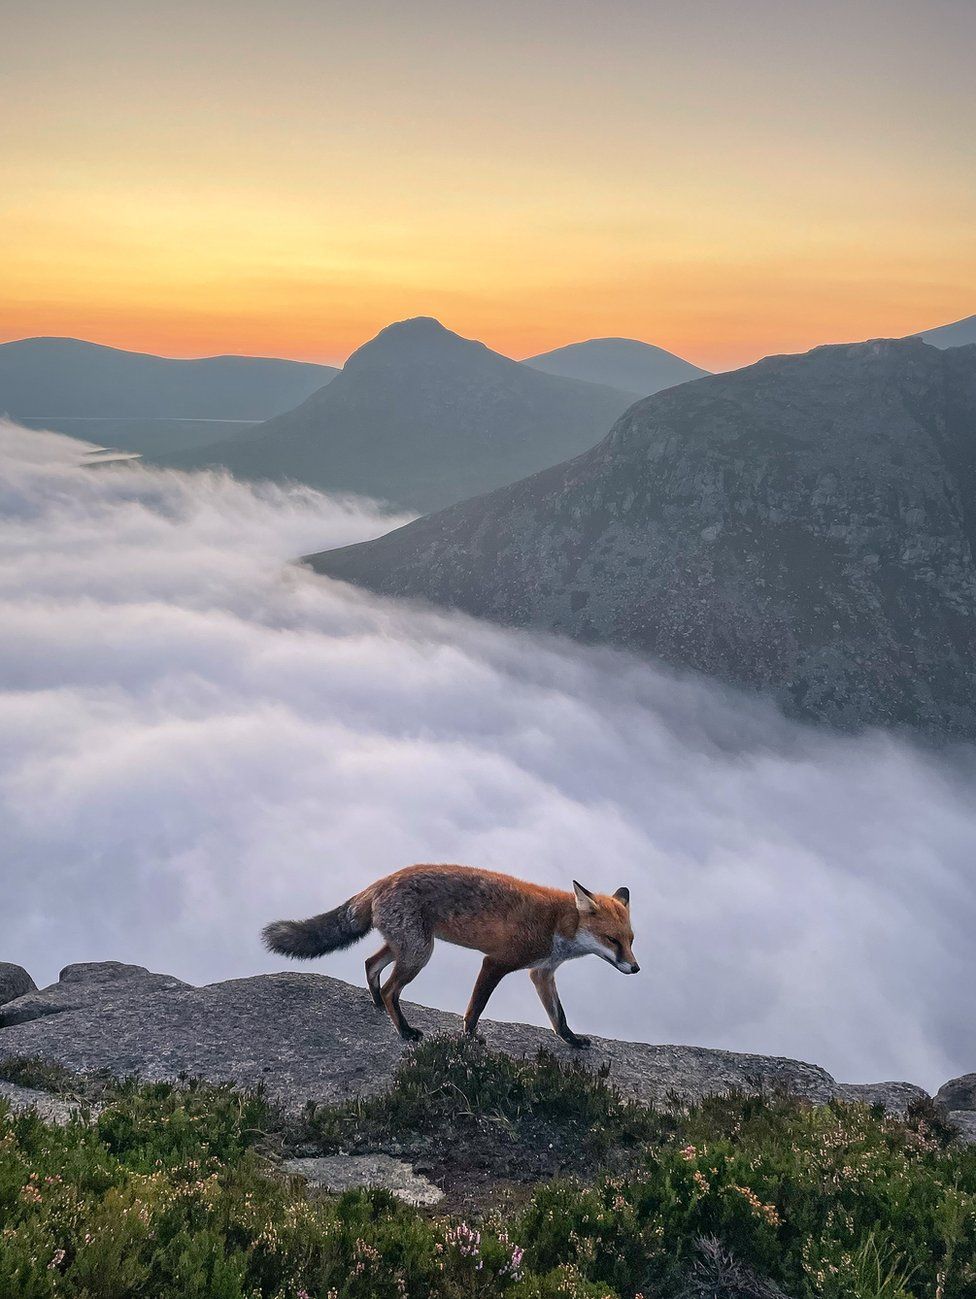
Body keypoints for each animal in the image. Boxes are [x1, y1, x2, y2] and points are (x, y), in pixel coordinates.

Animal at [263, 867, 636, 1049]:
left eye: (631, 941)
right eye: (612, 940)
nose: (635, 968)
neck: (557, 924)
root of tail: (383, 879)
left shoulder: (541, 974)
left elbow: (559, 1017)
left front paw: (572, 1041)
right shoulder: (496, 962)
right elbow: (475, 1009)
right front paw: (469, 1038)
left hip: (407, 947)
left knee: (371, 966)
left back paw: (378, 1006)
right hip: (420, 953)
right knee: (390, 988)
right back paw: (404, 1031)